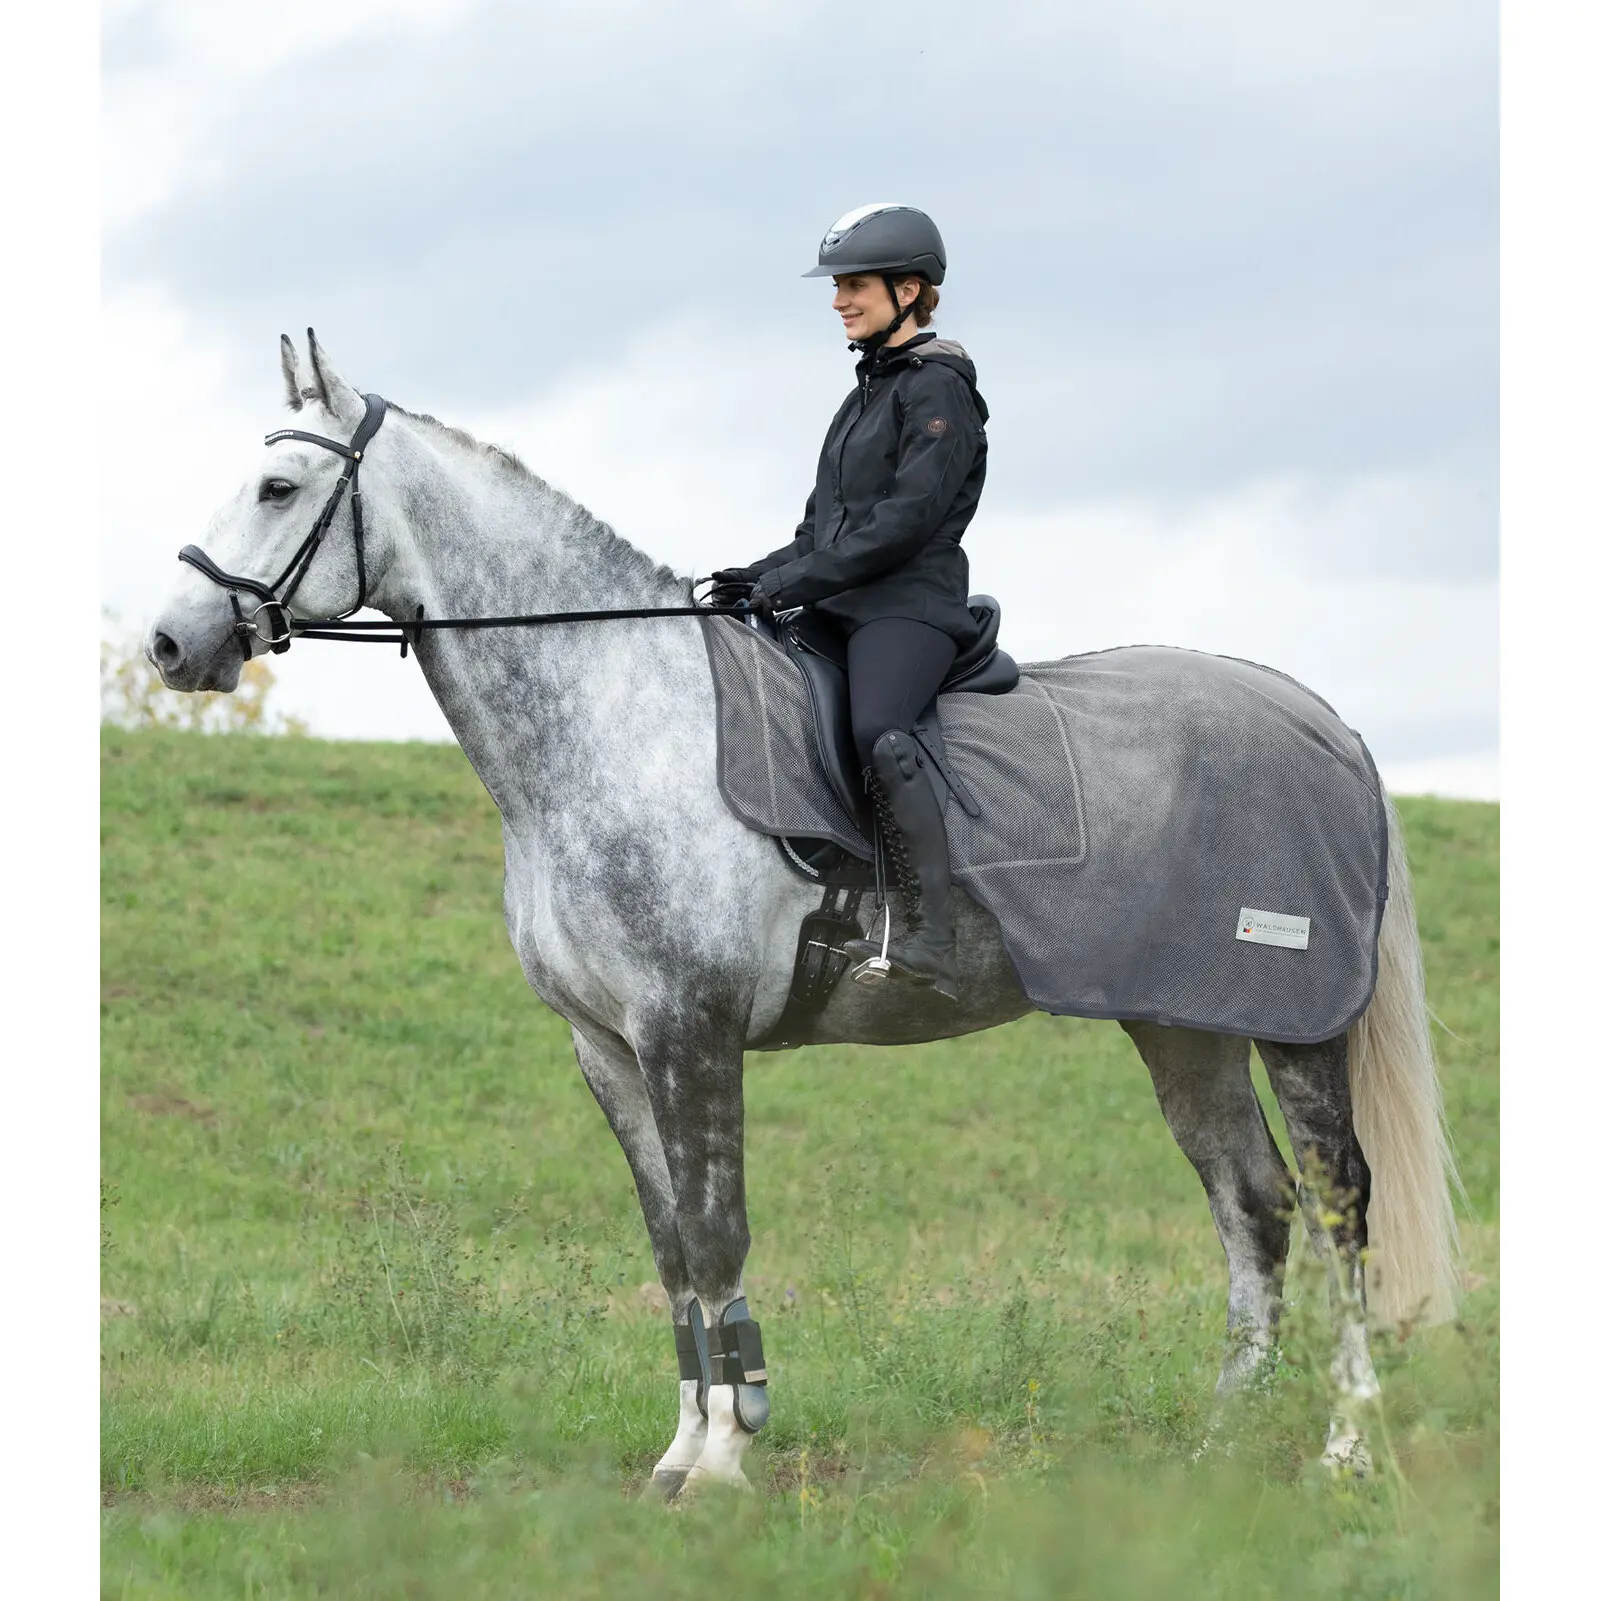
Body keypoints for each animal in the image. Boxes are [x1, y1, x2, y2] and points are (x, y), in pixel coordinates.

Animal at [145, 331, 1458, 1494]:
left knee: (1336, 1203)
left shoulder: (690, 1026)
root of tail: (1319, 721)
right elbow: (670, 1248)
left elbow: (715, 1234)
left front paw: (727, 1458)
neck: (618, 717)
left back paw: (1344, 1451)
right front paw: (679, 1452)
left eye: (277, 485)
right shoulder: (607, 1047)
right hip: (1182, 1024)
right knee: (1251, 1202)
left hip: (1292, 1021)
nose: (168, 641)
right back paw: (1220, 1448)